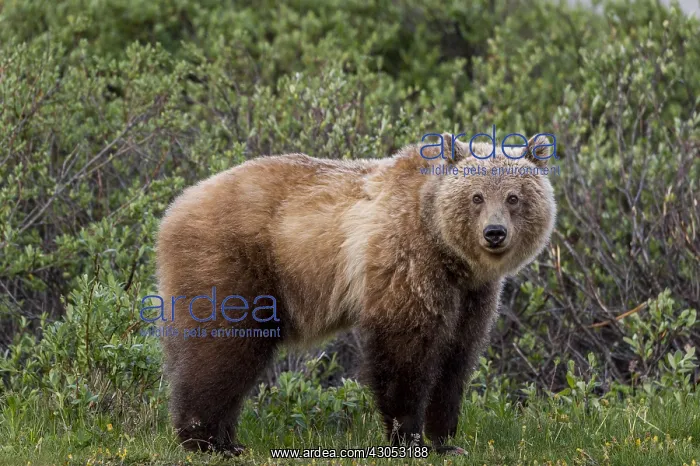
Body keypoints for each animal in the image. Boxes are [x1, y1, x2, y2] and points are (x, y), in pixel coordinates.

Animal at [155, 132, 556, 455]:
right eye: (476, 196)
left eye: (514, 197)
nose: (494, 233)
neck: (448, 254)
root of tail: (177, 205)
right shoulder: (406, 262)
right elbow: (404, 351)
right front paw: (407, 437)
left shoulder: (472, 295)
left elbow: (457, 358)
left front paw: (446, 438)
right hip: (234, 264)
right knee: (224, 347)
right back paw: (209, 440)